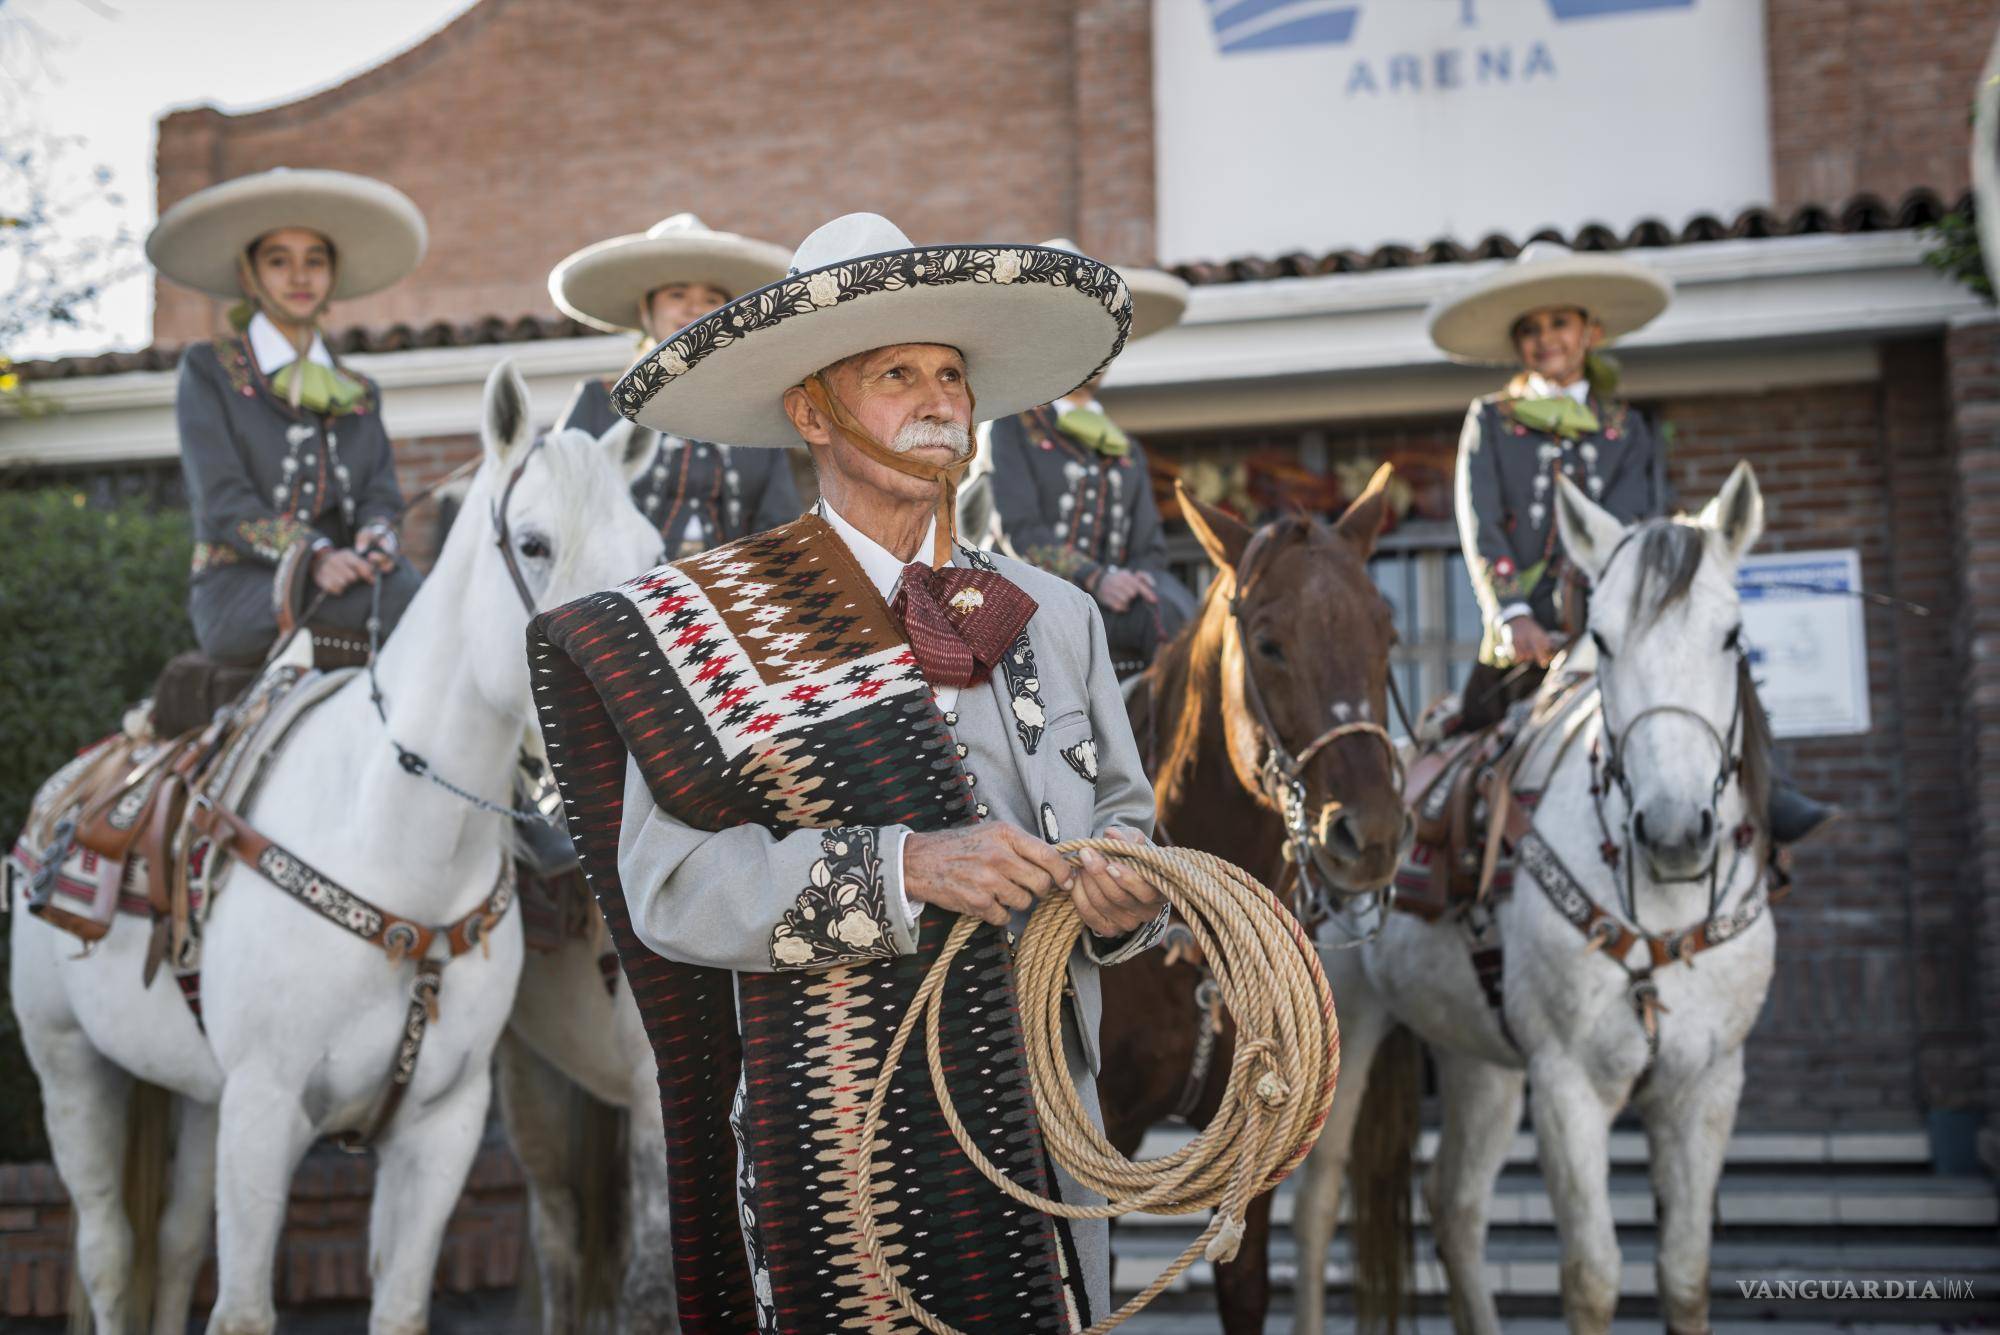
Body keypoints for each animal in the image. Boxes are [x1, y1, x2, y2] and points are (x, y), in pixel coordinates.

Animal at [11, 361, 660, 1335]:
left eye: (654, 553)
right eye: (535, 543)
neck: (399, 849)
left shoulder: (439, 1128)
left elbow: (398, 1305)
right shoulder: (264, 1109)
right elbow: (243, 1310)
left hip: (197, 1095)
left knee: (173, 1245)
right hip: (69, 1064)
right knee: (109, 1255)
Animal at [1296, 461, 1784, 1335]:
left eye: (1731, 636)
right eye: (1604, 639)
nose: (1673, 830)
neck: (1660, 912)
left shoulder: (1707, 1084)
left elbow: (1685, 1273)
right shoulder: (1568, 1084)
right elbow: (1591, 1276)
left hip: (1478, 1056)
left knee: (1454, 1201)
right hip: (1346, 1021)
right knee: (1319, 1203)